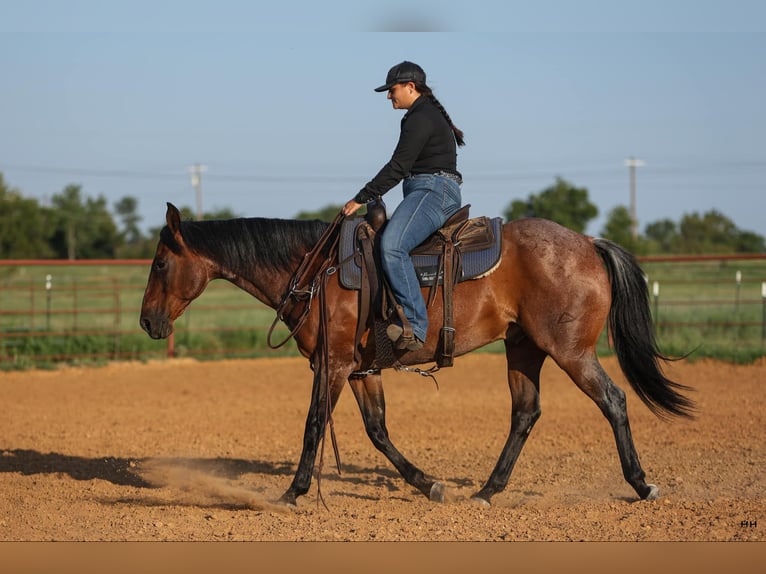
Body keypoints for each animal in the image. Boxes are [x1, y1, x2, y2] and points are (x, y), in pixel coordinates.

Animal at [139, 202, 694, 507]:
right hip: (524, 348)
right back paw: (487, 491)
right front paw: (428, 485)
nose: (147, 322)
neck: (316, 270)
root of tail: (588, 242)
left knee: (613, 400)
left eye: (161, 263)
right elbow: (378, 431)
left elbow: (315, 424)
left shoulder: (332, 366)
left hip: (571, 351)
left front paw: (292, 492)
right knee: (525, 413)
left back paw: (642, 485)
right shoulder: (358, 368)